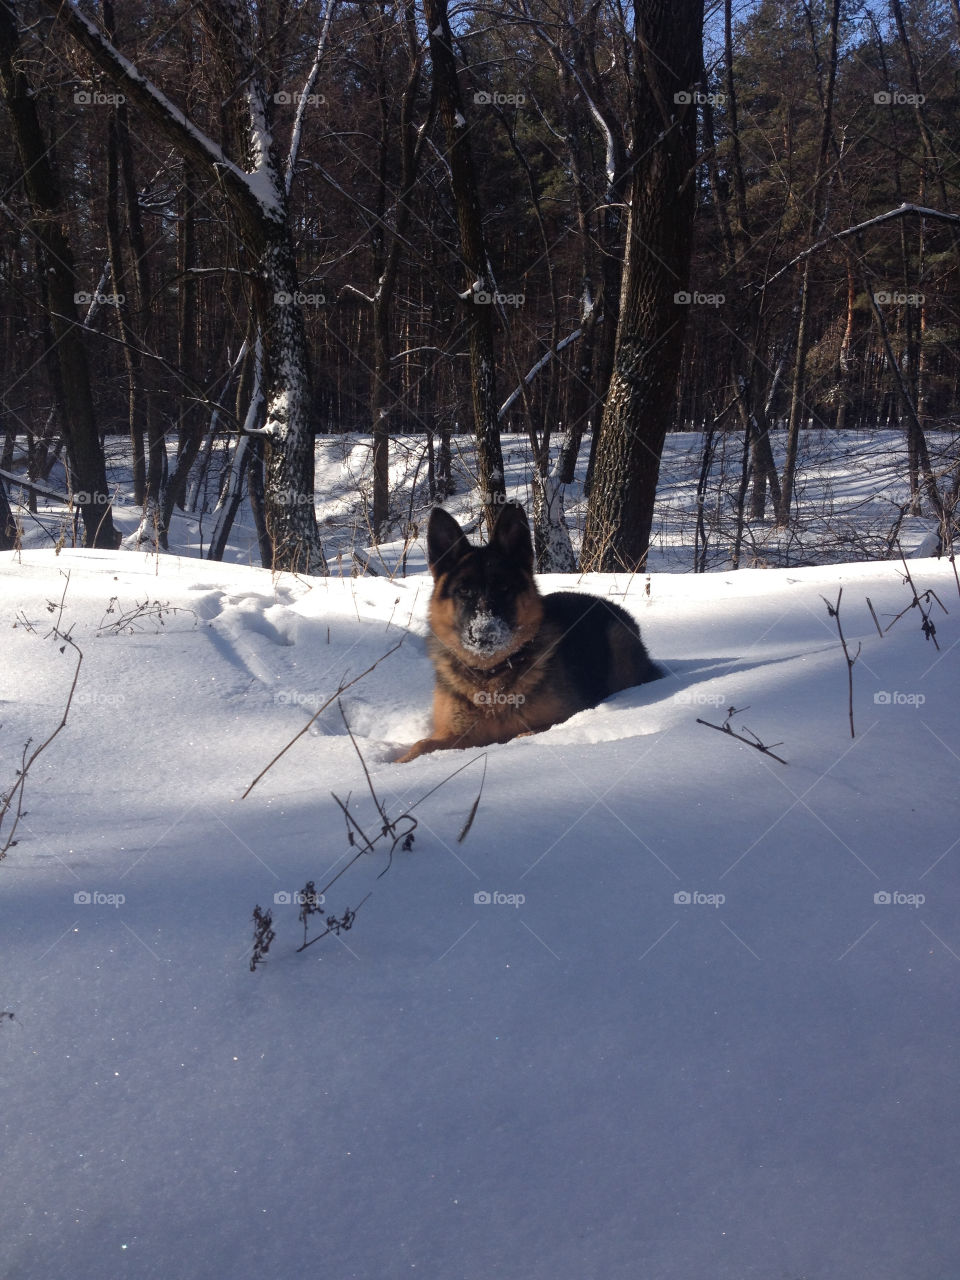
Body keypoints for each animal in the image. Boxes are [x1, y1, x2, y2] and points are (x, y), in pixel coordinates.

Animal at [399, 499, 660, 757]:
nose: (485, 633)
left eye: (504, 588)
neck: (491, 673)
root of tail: (602, 601)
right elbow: (419, 745)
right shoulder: (454, 734)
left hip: (618, 642)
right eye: (463, 591)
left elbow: (524, 733)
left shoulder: (559, 719)